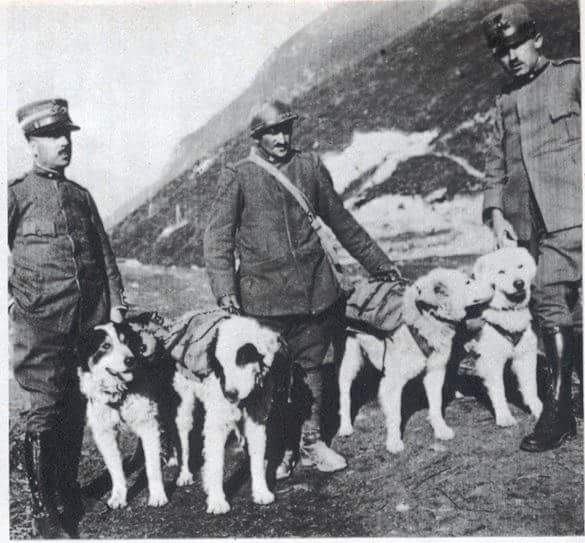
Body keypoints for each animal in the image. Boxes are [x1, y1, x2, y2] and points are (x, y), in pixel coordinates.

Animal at [337, 268, 493, 453]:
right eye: (468, 282)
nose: (493, 285)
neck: (424, 319)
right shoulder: (392, 382)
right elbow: (395, 416)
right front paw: (394, 442)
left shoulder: (435, 372)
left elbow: (436, 405)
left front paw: (440, 429)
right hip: (349, 361)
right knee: (344, 395)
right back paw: (345, 427)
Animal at [469, 247, 542, 426]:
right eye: (501, 271)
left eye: (520, 266)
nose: (519, 283)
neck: (509, 312)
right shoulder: (491, 361)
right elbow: (498, 390)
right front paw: (504, 416)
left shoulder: (525, 357)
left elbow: (531, 387)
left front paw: (539, 410)